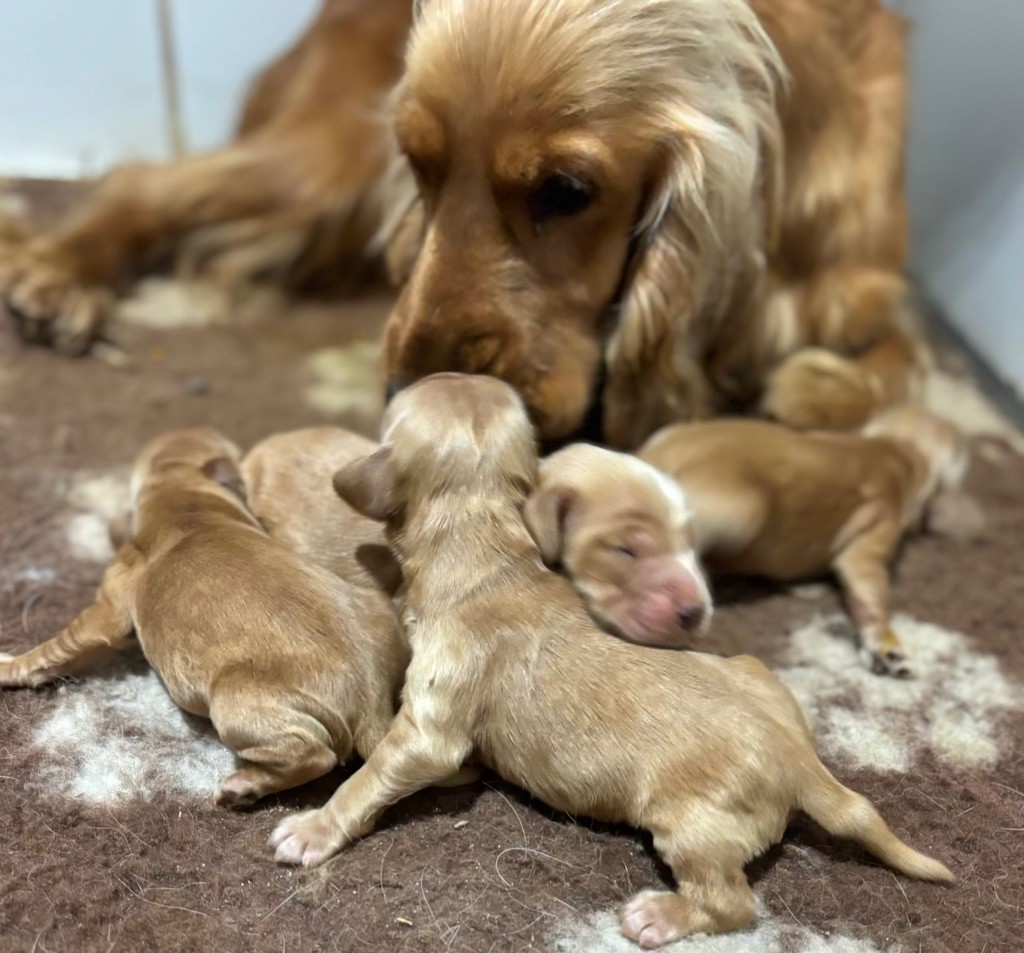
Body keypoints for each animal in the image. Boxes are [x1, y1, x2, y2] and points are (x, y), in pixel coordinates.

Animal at [0, 427, 407, 810]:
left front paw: (9, 666)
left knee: (315, 755)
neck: (185, 499)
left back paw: (242, 787)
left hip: (234, 699)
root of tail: (371, 699)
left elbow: (57, 646)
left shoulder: (108, 609)